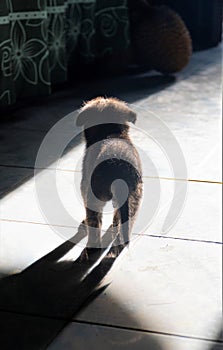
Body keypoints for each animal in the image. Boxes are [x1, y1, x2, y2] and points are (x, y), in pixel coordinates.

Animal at [76, 97, 143, 247]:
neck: (110, 132)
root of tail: (119, 168)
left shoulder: (84, 183)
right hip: (134, 197)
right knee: (125, 222)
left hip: (94, 196)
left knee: (95, 226)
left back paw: (92, 245)